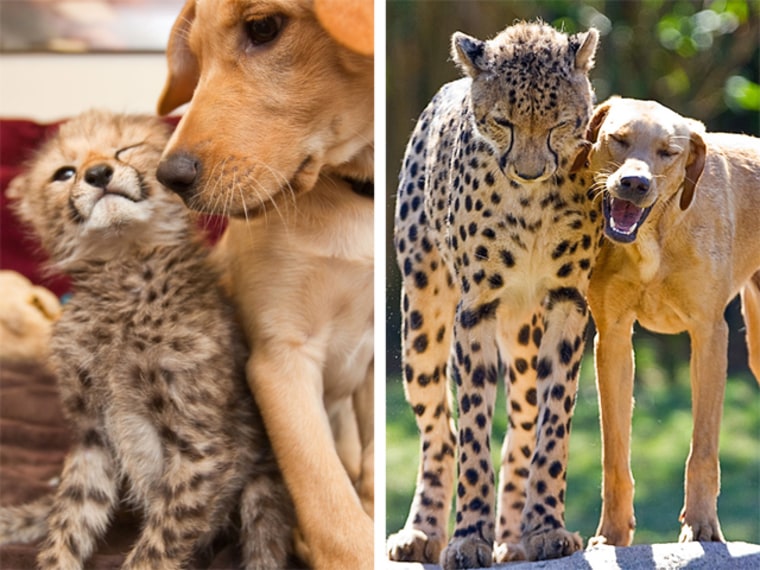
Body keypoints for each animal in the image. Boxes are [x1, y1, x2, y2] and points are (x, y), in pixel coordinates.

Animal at [156, 2, 376, 564]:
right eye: (198, 56)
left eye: (263, 28)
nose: (170, 178)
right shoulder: (282, 358)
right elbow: (331, 509)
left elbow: (364, 474)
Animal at [388, 21, 604, 564]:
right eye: (502, 122)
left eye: (559, 124)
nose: (528, 171)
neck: (529, 203)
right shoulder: (476, 308)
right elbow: (471, 435)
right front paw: (468, 536)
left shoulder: (568, 301)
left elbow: (552, 425)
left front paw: (544, 527)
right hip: (421, 321)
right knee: (438, 431)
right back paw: (422, 531)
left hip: (525, 333)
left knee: (521, 429)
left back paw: (513, 539)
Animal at [584, 96, 756, 544]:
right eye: (619, 139)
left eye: (668, 152)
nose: (635, 184)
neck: (654, 238)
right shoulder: (612, 339)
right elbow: (614, 454)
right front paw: (612, 534)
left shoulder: (709, 336)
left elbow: (703, 450)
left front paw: (701, 525)